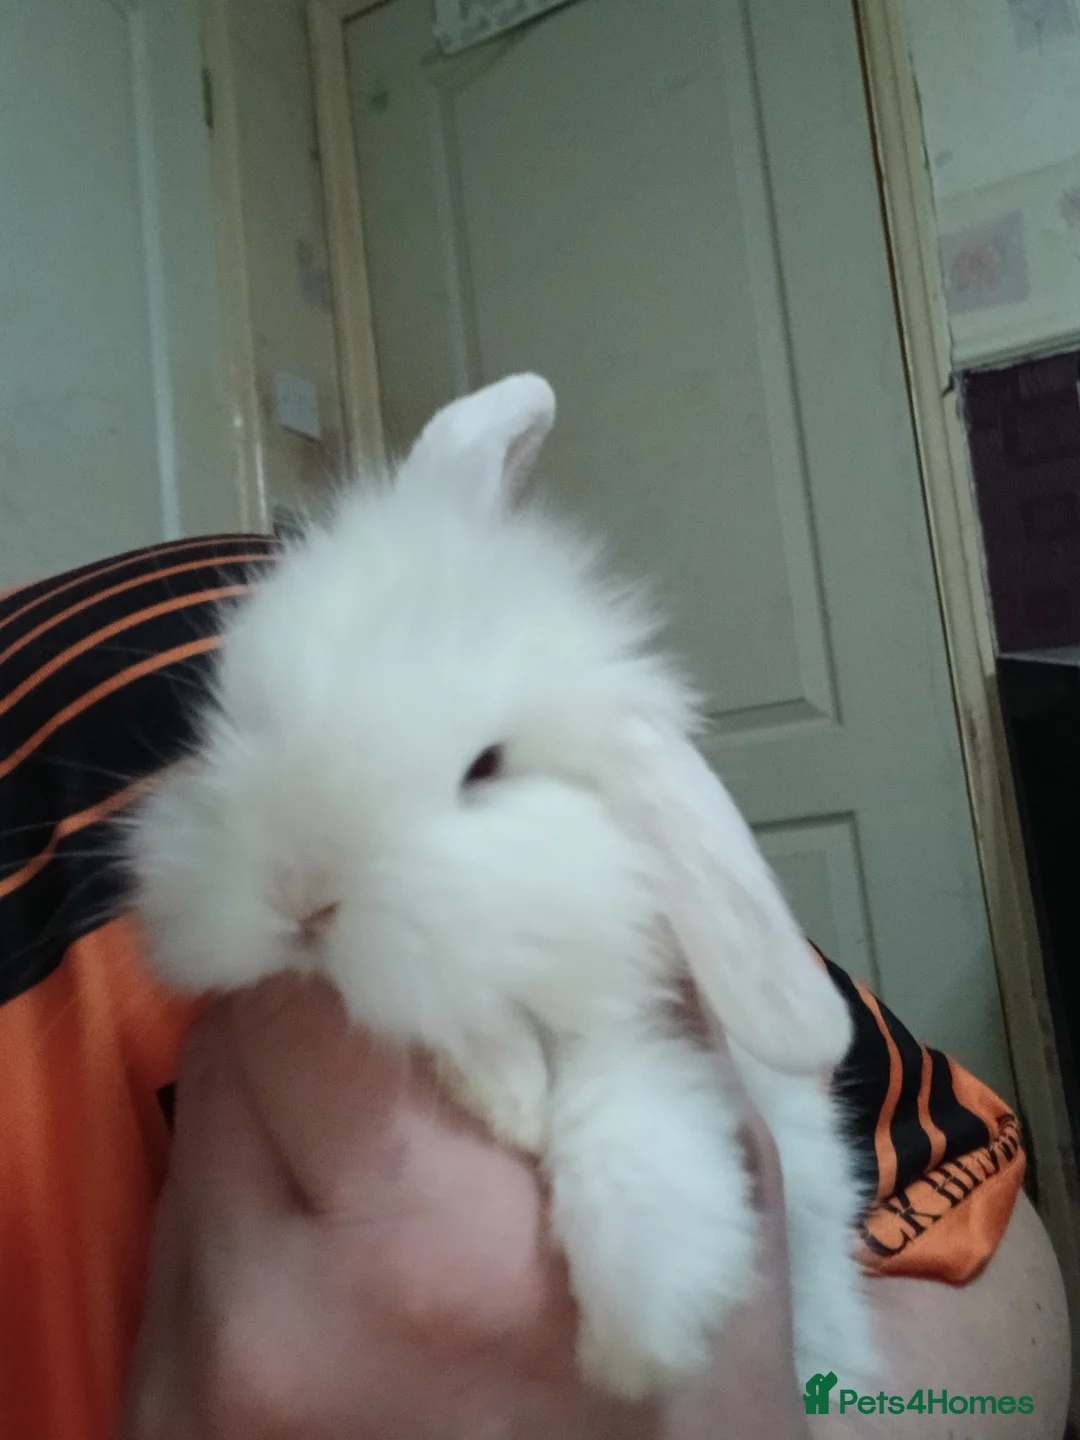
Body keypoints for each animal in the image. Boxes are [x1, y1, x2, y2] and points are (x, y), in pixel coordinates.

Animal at [129, 374, 877, 1402]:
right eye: (238, 717)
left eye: (485, 767)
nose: (301, 895)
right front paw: (507, 1087)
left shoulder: (643, 1029)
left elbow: (630, 1127)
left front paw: (638, 1339)